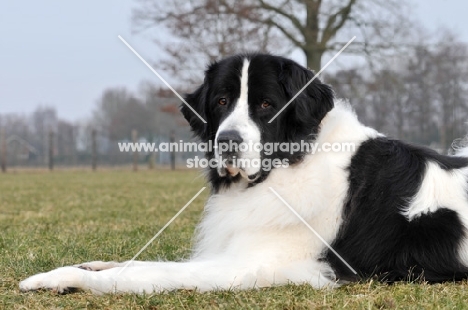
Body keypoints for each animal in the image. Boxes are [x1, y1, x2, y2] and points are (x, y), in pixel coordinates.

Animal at [20, 52, 468, 294]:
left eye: (267, 104)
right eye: (221, 101)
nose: (228, 140)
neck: (289, 165)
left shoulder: (248, 264)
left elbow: (144, 270)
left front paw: (52, 277)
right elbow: (125, 262)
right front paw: (82, 269)